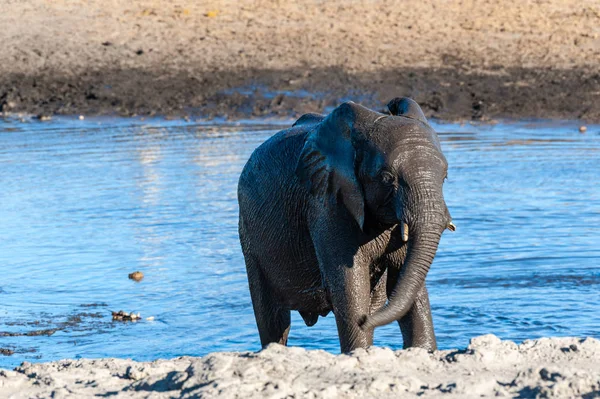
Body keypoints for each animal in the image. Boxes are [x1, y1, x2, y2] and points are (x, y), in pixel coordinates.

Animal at [237, 97, 452, 354]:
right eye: (387, 178)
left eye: (445, 176)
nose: (364, 320)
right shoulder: (327, 205)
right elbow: (349, 285)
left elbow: (404, 278)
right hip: (249, 238)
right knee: (273, 318)